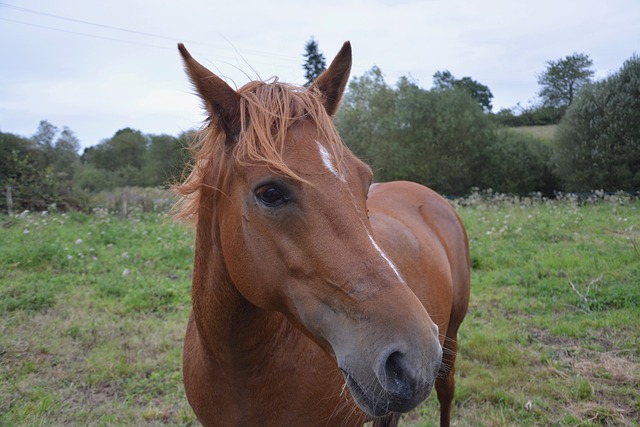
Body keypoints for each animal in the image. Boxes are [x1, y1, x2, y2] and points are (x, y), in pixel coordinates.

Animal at [175, 41, 470, 427]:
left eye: (365, 179)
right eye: (270, 193)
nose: (413, 358)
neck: (240, 368)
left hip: (451, 340)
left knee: (447, 392)